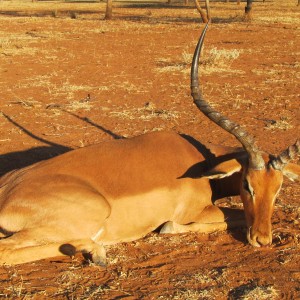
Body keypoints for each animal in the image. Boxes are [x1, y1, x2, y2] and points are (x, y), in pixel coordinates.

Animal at [0, 25, 300, 264]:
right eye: (247, 185)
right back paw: (95, 251)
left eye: (278, 188)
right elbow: (227, 217)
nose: (262, 239)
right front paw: (168, 228)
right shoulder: (201, 211)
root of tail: (5, 194)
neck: (200, 163)